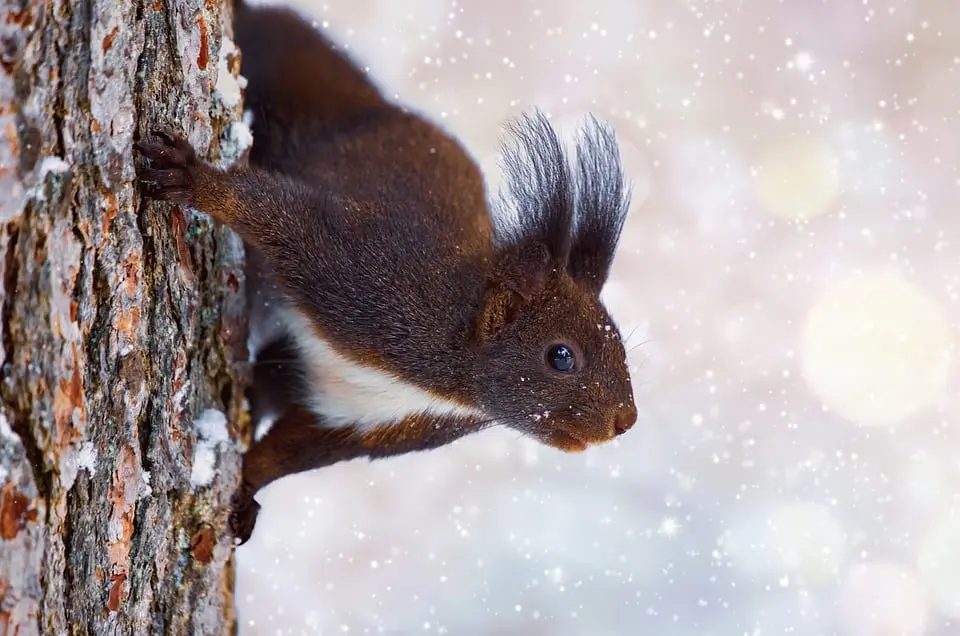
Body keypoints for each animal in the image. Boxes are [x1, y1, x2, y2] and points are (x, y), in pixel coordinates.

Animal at [131, 1, 632, 548]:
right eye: (561, 356)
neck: (441, 379)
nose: (625, 421)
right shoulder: (367, 271)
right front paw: (195, 181)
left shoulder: (360, 422)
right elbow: (283, 217)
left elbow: (290, 451)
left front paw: (246, 491)